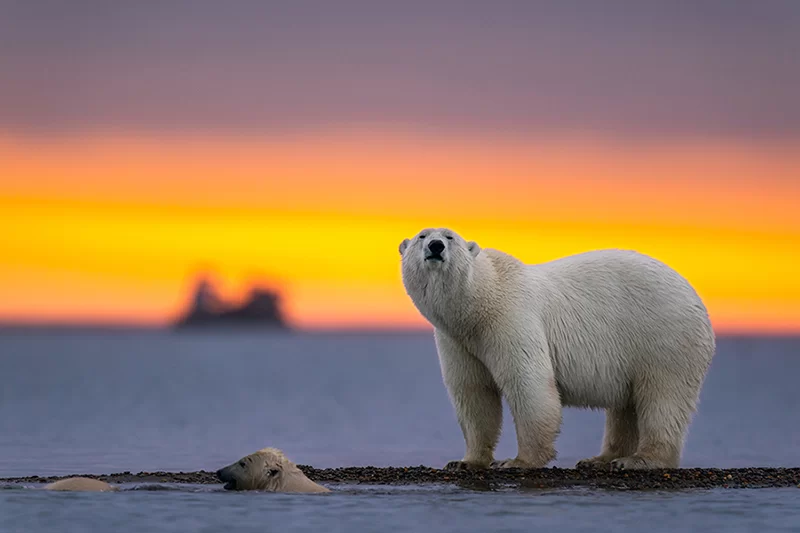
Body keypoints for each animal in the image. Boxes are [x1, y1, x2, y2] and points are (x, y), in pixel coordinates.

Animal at [400, 225, 720, 470]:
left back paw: (639, 459)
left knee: (662, 397)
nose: (436, 246)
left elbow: (528, 383)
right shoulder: (457, 341)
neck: (479, 304)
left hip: (665, 337)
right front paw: (466, 461)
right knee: (626, 406)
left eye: (450, 236)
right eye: (421, 235)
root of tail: (695, 297)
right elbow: (474, 394)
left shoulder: (512, 318)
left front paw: (518, 461)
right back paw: (601, 459)